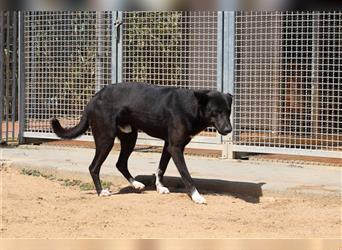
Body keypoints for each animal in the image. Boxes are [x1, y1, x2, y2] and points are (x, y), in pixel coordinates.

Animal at [51, 83, 232, 204]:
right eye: (216, 112)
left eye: (228, 112)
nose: (229, 129)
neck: (192, 106)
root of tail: (94, 98)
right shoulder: (176, 147)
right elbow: (186, 174)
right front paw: (197, 196)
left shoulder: (168, 145)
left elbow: (161, 168)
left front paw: (160, 187)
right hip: (106, 139)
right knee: (93, 167)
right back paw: (101, 191)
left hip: (130, 137)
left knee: (120, 163)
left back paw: (136, 184)